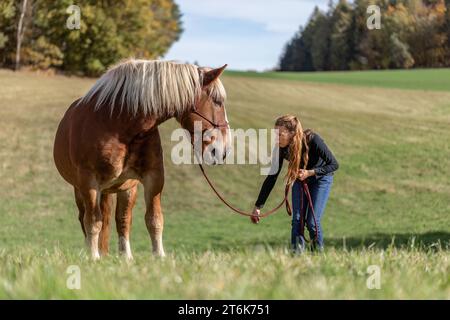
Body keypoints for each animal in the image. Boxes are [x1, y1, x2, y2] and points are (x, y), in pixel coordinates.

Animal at [53, 59, 232, 260]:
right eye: (218, 102)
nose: (223, 150)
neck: (118, 124)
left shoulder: (153, 177)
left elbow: (154, 219)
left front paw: (159, 256)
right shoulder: (88, 182)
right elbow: (92, 222)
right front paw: (93, 257)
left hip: (125, 188)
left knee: (122, 220)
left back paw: (126, 257)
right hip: (82, 190)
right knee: (86, 217)